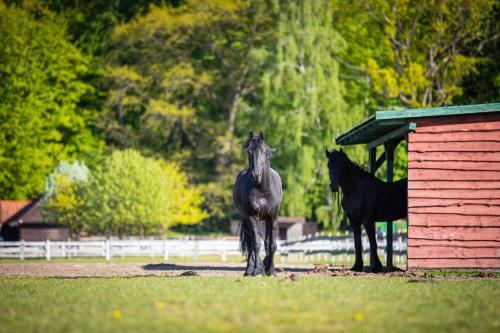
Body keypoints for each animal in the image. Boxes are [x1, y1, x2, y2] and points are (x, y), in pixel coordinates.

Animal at [233, 130, 282, 274]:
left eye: (263, 151)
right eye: (249, 151)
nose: (255, 175)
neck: (263, 191)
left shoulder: (273, 218)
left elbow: (272, 245)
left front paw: (269, 268)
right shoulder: (252, 217)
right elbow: (255, 244)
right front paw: (258, 269)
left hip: (265, 220)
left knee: (265, 242)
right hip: (246, 220)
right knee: (250, 243)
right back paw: (249, 269)